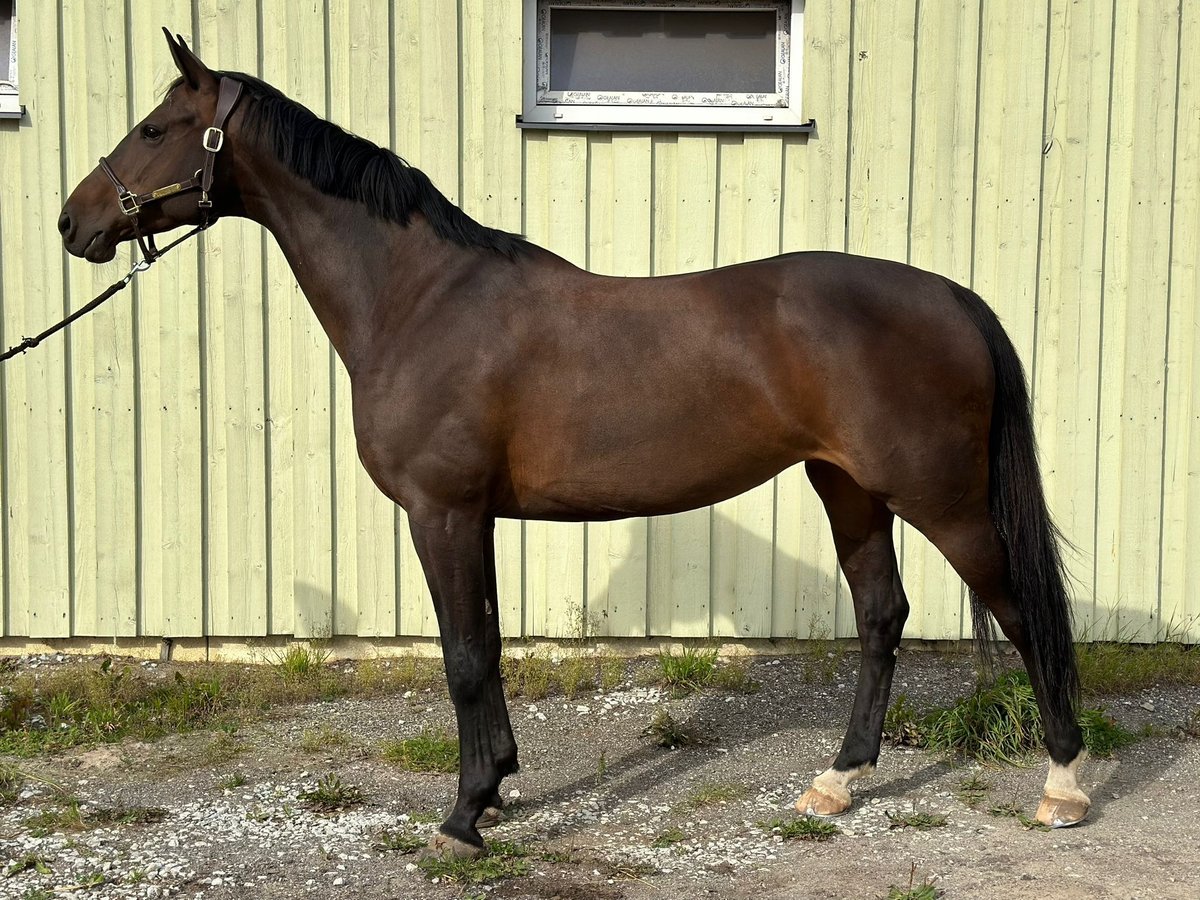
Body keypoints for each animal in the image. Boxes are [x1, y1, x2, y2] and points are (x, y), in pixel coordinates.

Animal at [54, 30, 1089, 859]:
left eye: (156, 128)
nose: (74, 221)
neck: (420, 299)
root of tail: (951, 296)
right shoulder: (473, 518)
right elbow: (484, 646)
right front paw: (495, 791)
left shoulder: (443, 511)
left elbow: (464, 657)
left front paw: (462, 818)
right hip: (849, 488)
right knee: (882, 616)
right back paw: (836, 783)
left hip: (942, 498)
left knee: (1025, 613)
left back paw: (1063, 786)